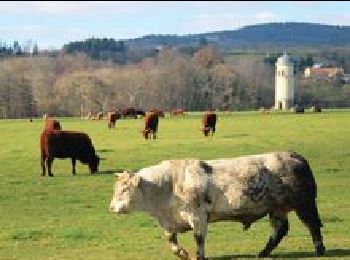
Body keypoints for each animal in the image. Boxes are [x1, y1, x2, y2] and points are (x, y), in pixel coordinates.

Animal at [108, 151, 326, 258]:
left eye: (124, 189)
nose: (111, 208)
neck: (169, 184)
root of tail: (295, 156)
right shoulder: (170, 222)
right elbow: (172, 242)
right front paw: (182, 253)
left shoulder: (198, 216)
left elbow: (199, 239)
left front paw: (199, 256)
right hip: (277, 208)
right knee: (279, 230)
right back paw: (263, 253)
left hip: (304, 204)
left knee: (312, 225)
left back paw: (319, 250)